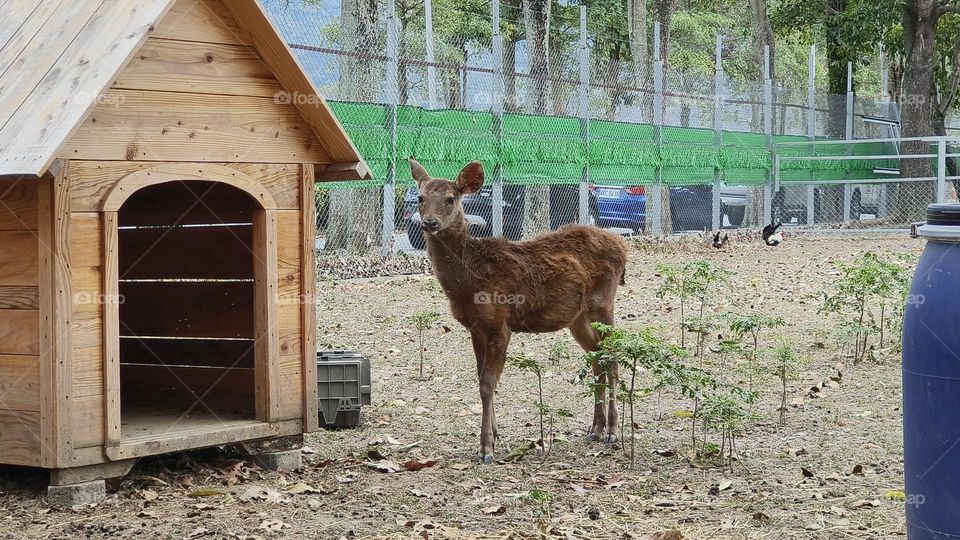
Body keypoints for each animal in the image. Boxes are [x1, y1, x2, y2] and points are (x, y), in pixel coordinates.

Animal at [409, 158, 629, 464]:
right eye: (420, 197)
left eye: (450, 199)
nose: (429, 222)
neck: (469, 280)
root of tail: (623, 246)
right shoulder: (476, 327)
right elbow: (482, 379)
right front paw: (495, 435)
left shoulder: (500, 322)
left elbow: (488, 383)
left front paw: (486, 448)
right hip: (577, 317)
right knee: (597, 357)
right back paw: (595, 429)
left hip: (603, 303)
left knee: (613, 357)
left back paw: (612, 431)